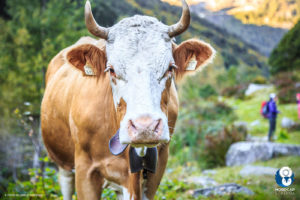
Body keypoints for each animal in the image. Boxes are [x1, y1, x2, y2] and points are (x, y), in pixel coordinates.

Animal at [41, 0, 216, 199]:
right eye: (111, 69)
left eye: (170, 68)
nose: (144, 127)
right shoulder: (85, 171)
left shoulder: (155, 169)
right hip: (63, 162)